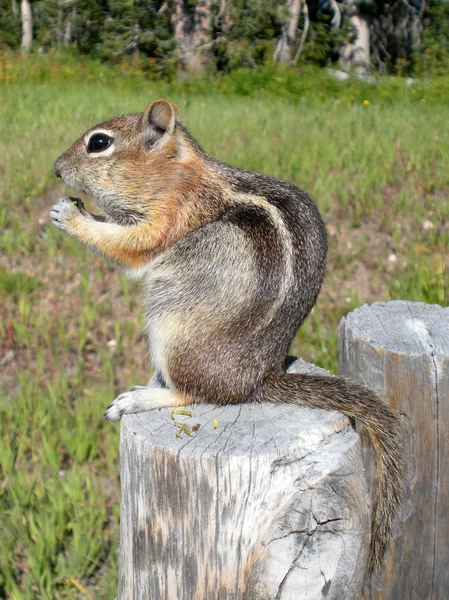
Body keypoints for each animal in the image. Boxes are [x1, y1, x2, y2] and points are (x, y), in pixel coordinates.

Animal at [50, 97, 404, 572]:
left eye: (99, 143)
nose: (56, 169)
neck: (176, 174)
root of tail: (255, 379)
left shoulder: (169, 215)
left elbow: (133, 245)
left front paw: (69, 214)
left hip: (170, 329)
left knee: (193, 393)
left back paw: (139, 399)